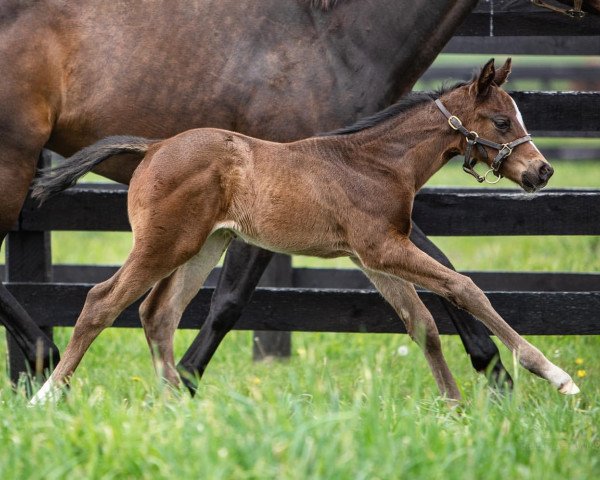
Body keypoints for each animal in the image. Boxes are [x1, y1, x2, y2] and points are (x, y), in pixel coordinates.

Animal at [0, 0, 516, 386]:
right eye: (503, 121)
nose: (535, 174)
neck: (338, 44)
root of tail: (154, 146)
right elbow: (229, 301)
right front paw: (188, 380)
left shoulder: (362, 216)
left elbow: (441, 266)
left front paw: (495, 370)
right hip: (18, 164)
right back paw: (43, 361)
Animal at [30, 60, 580, 404]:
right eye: (502, 121)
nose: (543, 172)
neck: (376, 163)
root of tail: (154, 146)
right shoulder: (382, 247)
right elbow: (463, 287)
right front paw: (555, 376)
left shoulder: (372, 258)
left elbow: (422, 322)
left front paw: (454, 408)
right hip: (164, 243)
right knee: (102, 301)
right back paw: (45, 396)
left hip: (204, 245)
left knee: (158, 314)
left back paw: (174, 408)